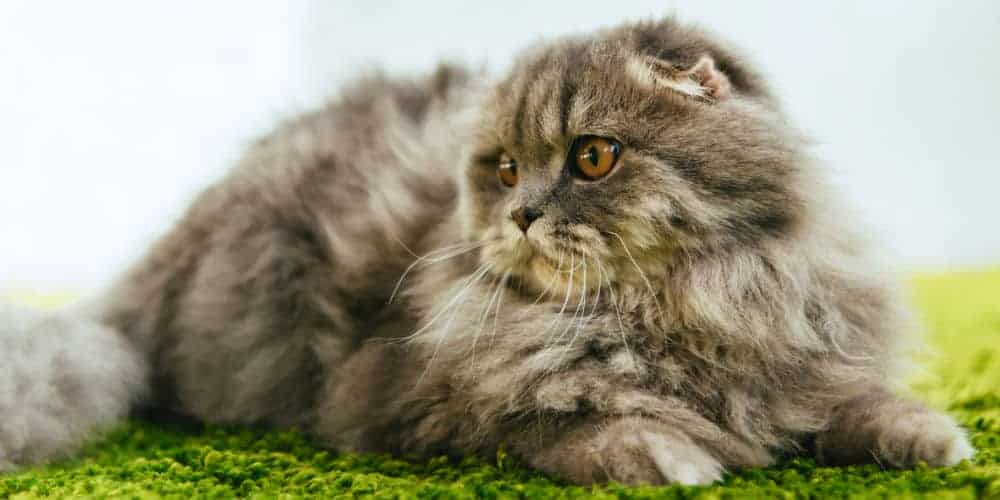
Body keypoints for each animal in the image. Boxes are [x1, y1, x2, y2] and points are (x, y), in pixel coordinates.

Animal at [0, 16, 972, 484]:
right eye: (504, 168)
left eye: (592, 157)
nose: (523, 215)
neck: (664, 309)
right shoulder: (428, 413)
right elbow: (582, 428)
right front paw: (677, 459)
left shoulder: (799, 362)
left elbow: (856, 405)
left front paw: (935, 439)